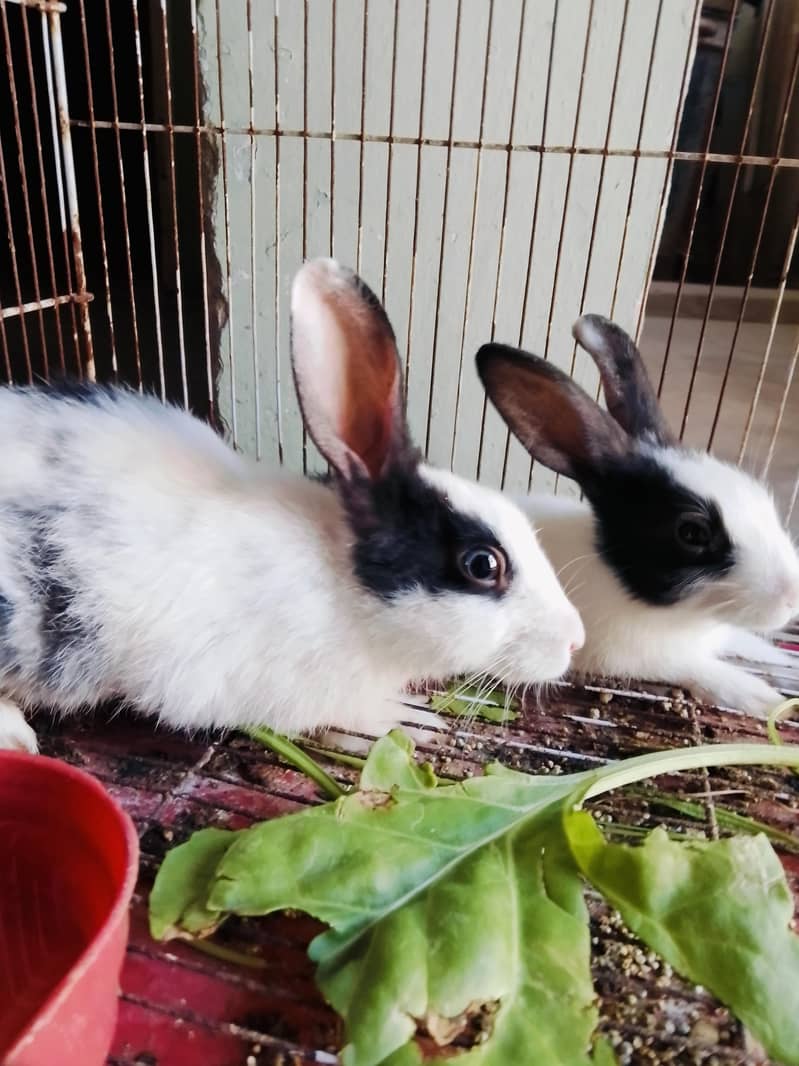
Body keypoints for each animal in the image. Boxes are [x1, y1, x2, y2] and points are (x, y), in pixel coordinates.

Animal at [476, 313, 799, 717]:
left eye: (759, 494)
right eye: (692, 533)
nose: (792, 597)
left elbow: (744, 641)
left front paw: (779, 658)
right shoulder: (630, 657)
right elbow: (695, 666)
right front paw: (762, 699)